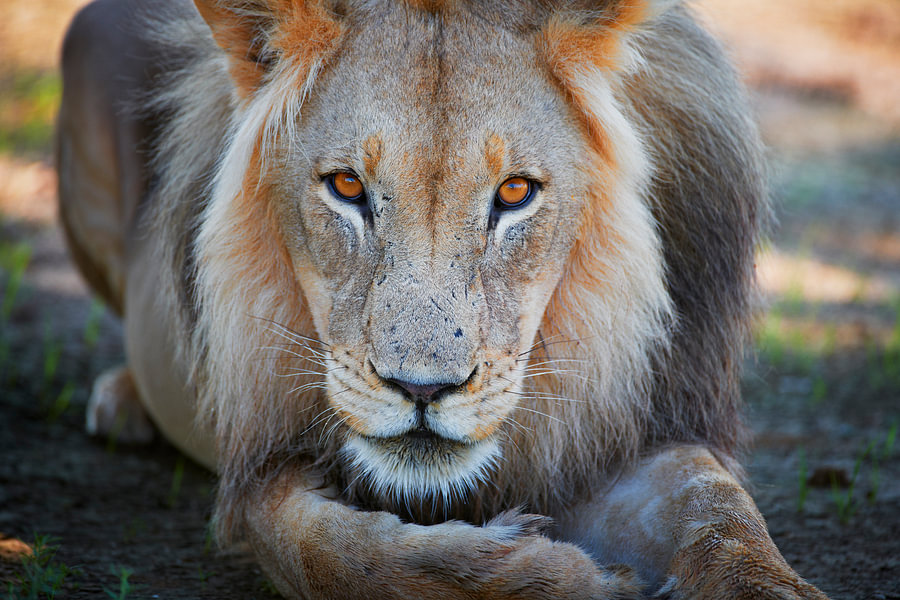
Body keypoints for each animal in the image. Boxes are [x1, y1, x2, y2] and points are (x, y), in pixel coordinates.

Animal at [57, 0, 829, 597]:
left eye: (515, 193)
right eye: (346, 186)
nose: (422, 390)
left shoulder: (637, 434)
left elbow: (722, 518)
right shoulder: (261, 470)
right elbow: (338, 555)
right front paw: (559, 577)